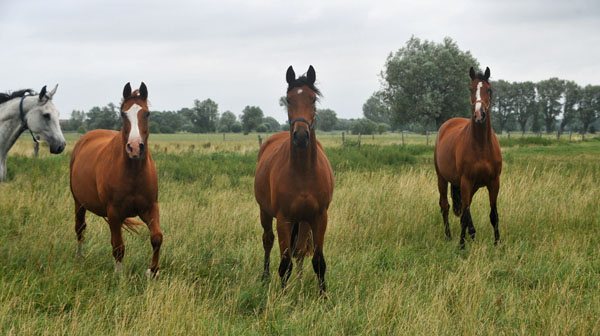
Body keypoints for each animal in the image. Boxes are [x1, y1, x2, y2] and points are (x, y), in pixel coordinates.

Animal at [69, 82, 162, 276]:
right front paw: (119, 277)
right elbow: (118, 247)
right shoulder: (114, 213)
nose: (135, 148)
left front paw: (152, 271)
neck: (133, 172)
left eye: (147, 113)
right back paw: (79, 257)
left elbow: (157, 238)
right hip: (79, 203)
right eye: (123, 114)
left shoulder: (150, 208)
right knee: (80, 228)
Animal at [254, 65, 336, 294]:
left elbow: (318, 261)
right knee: (268, 241)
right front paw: (283, 296)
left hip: (304, 220)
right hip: (265, 213)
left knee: (299, 250)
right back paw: (265, 277)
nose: (300, 136)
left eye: (313, 99)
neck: (303, 172)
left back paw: (298, 283)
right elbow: (284, 263)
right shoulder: (284, 219)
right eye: (289, 99)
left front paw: (323, 296)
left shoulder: (319, 217)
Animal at [436, 67, 502, 248]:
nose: (479, 115)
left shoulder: (494, 182)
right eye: (471, 89)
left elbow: (493, 215)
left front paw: (497, 243)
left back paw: (471, 235)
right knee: (445, 206)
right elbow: (465, 215)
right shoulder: (466, 181)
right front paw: (461, 245)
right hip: (442, 179)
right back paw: (449, 236)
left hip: (471, 187)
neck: (481, 145)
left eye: (489, 89)